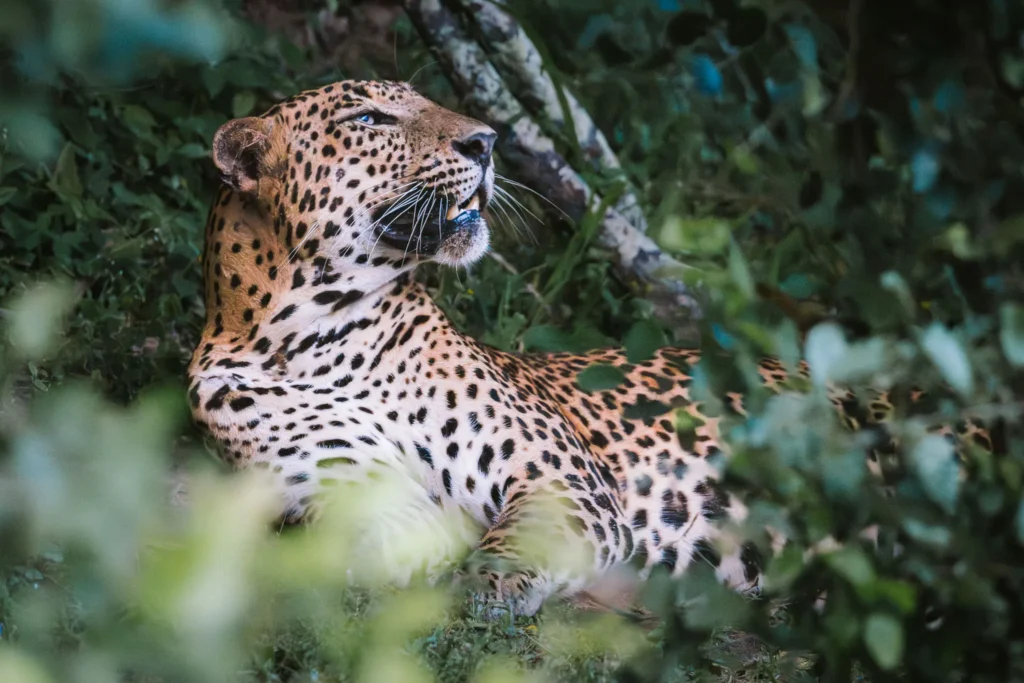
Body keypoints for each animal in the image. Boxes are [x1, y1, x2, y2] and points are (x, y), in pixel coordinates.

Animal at [186, 79, 994, 617]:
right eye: (369, 117)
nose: (486, 141)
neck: (320, 335)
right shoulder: (374, 502)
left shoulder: (559, 476)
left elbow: (512, 544)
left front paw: (489, 592)